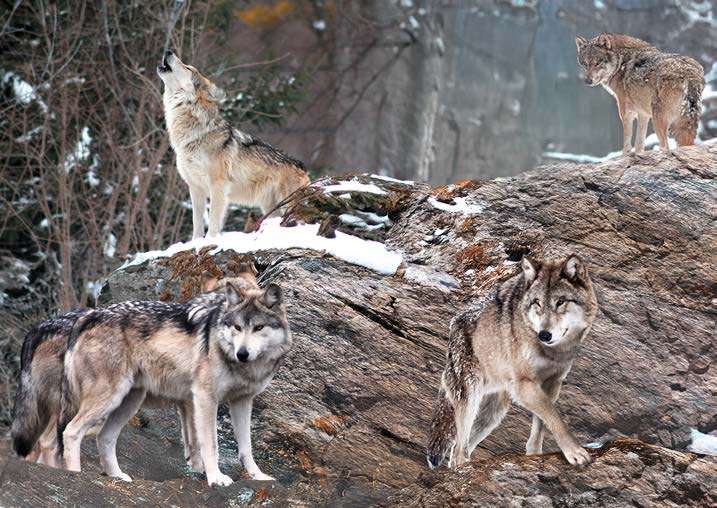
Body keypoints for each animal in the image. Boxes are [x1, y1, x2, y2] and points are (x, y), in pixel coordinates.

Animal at [58, 274, 291, 487]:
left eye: (258, 327)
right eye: (237, 327)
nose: (242, 353)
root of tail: (90, 315)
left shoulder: (242, 401)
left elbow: (246, 448)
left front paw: (258, 476)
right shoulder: (205, 397)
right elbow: (210, 444)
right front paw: (216, 478)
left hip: (129, 402)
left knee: (103, 437)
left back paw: (118, 477)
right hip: (110, 398)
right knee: (71, 432)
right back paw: (75, 475)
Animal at [157, 50, 310, 239]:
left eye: (188, 67)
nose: (168, 51)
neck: (194, 133)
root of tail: (302, 167)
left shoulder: (218, 185)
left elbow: (213, 220)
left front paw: (211, 240)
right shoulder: (195, 187)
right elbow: (197, 222)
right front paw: (196, 241)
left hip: (286, 204)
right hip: (270, 209)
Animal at [426, 254, 598, 469]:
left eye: (560, 302)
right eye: (537, 303)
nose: (544, 334)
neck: (552, 352)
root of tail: (453, 323)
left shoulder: (552, 383)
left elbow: (542, 424)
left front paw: (534, 455)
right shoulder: (524, 385)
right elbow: (554, 416)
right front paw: (574, 452)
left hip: (493, 414)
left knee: (457, 450)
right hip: (471, 397)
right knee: (457, 450)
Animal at [575, 33, 705, 154]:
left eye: (598, 63)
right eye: (585, 64)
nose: (588, 81)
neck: (620, 62)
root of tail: (689, 73)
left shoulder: (626, 113)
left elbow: (627, 144)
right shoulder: (643, 114)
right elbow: (639, 144)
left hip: (658, 120)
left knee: (665, 146)